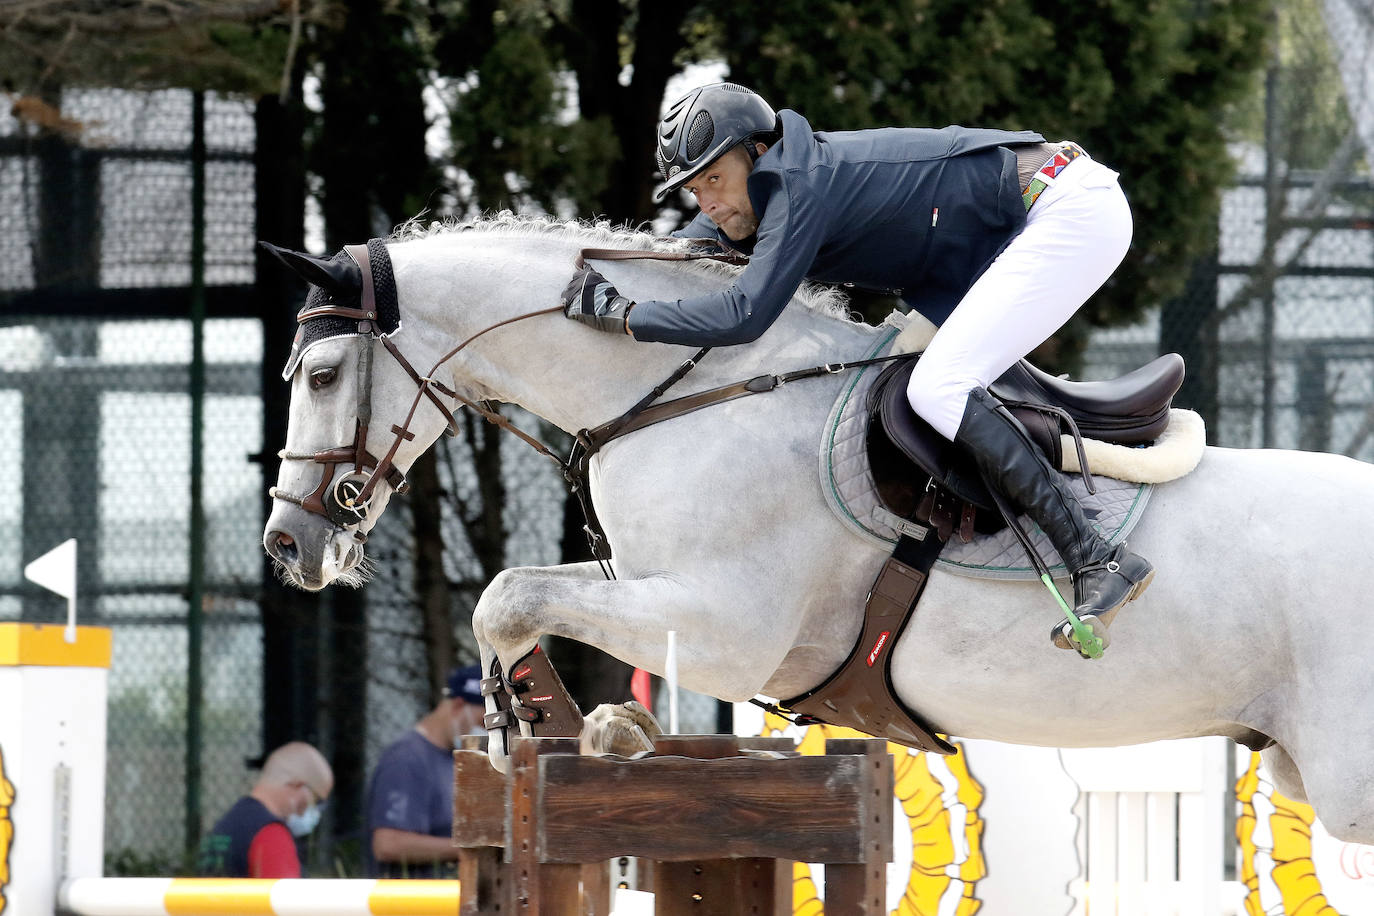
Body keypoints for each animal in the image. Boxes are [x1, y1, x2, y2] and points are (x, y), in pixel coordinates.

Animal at [262, 215, 1374, 845]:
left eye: (321, 375)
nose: (286, 546)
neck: (695, 389)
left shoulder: (727, 627)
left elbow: (506, 595)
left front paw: (556, 724)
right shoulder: (649, 583)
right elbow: (522, 594)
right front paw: (581, 725)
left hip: (1349, 782)